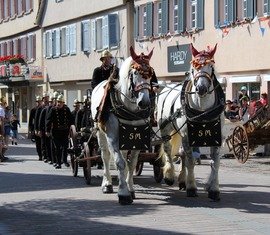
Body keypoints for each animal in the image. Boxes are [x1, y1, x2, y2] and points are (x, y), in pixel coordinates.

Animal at [90, 46, 154, 205]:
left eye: (150, 74)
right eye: (135, 73)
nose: (144, 102)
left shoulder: (137, 138)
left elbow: (132, 163)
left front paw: (130, 188)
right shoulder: (113, 137)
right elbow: (119, 162)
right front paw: (123, 193)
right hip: (101, 133)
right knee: (105, 156)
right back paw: (107, 184)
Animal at [157, 43, 225, 201]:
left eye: (211, 66)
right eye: (193, 68)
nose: (201, 88)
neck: (203, 110)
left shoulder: (216, 137)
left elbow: (215, 163)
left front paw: (213, 188)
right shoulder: (188, 137)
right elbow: (191, 162)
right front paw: (192, 187)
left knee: (181, 153)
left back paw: (182, 180)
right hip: (165, 128)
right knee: (168, 149)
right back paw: (170, 175)